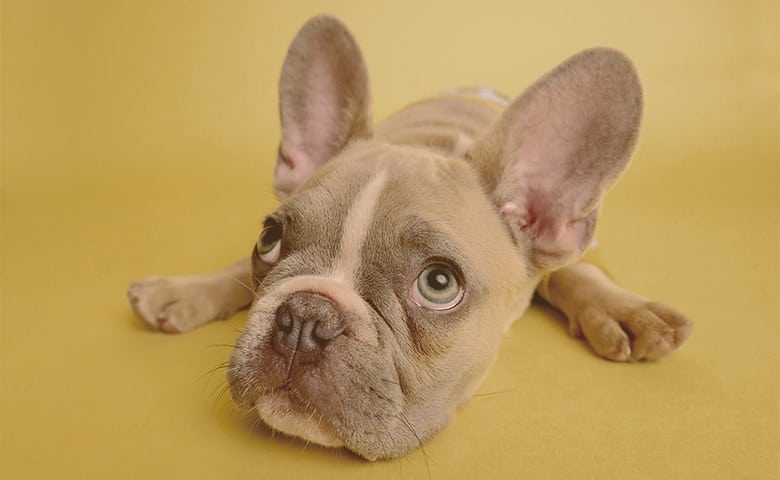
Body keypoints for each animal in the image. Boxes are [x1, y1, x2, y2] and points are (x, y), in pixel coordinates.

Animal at [125, 15, 692, 462]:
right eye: (269, 239)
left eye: (439, 284)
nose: (304, 316)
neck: (433, 142)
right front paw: (184, 290)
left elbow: (574, 272)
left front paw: (622, 310)